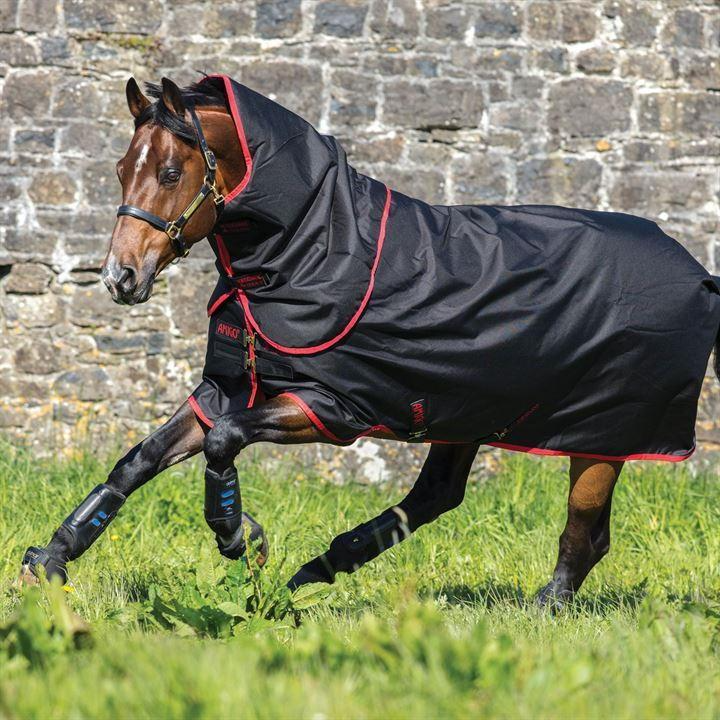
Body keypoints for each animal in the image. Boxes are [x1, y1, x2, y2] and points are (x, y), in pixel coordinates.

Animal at [20, 75, 720, 609]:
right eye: (120, 170)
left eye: (169, 171)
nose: (120, 277)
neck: (310, 251)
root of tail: (699, 273)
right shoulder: (227, 388)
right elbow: (138, 461)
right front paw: (49, 560)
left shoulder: (330, 409)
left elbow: (224, 442)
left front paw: (240, 537)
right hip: (465, 411)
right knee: (437, 496)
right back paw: (322, 568)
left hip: (602, 433)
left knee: (584, 531)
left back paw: (545, 607)